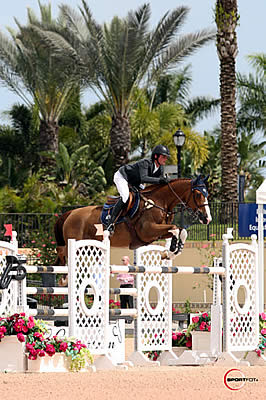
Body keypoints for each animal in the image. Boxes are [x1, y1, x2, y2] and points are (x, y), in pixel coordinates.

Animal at [54, 174, 212, 268]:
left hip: (90, 249)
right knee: (61, 251)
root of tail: (70, 213)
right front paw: (172, 249)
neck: (159, 201)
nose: (207, 218)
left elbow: (181, 231)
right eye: (198, 194)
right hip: (75, 243)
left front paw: (171, 251)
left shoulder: (156, 233)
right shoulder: (147, 230)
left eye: (207, 194)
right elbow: (175, 228)